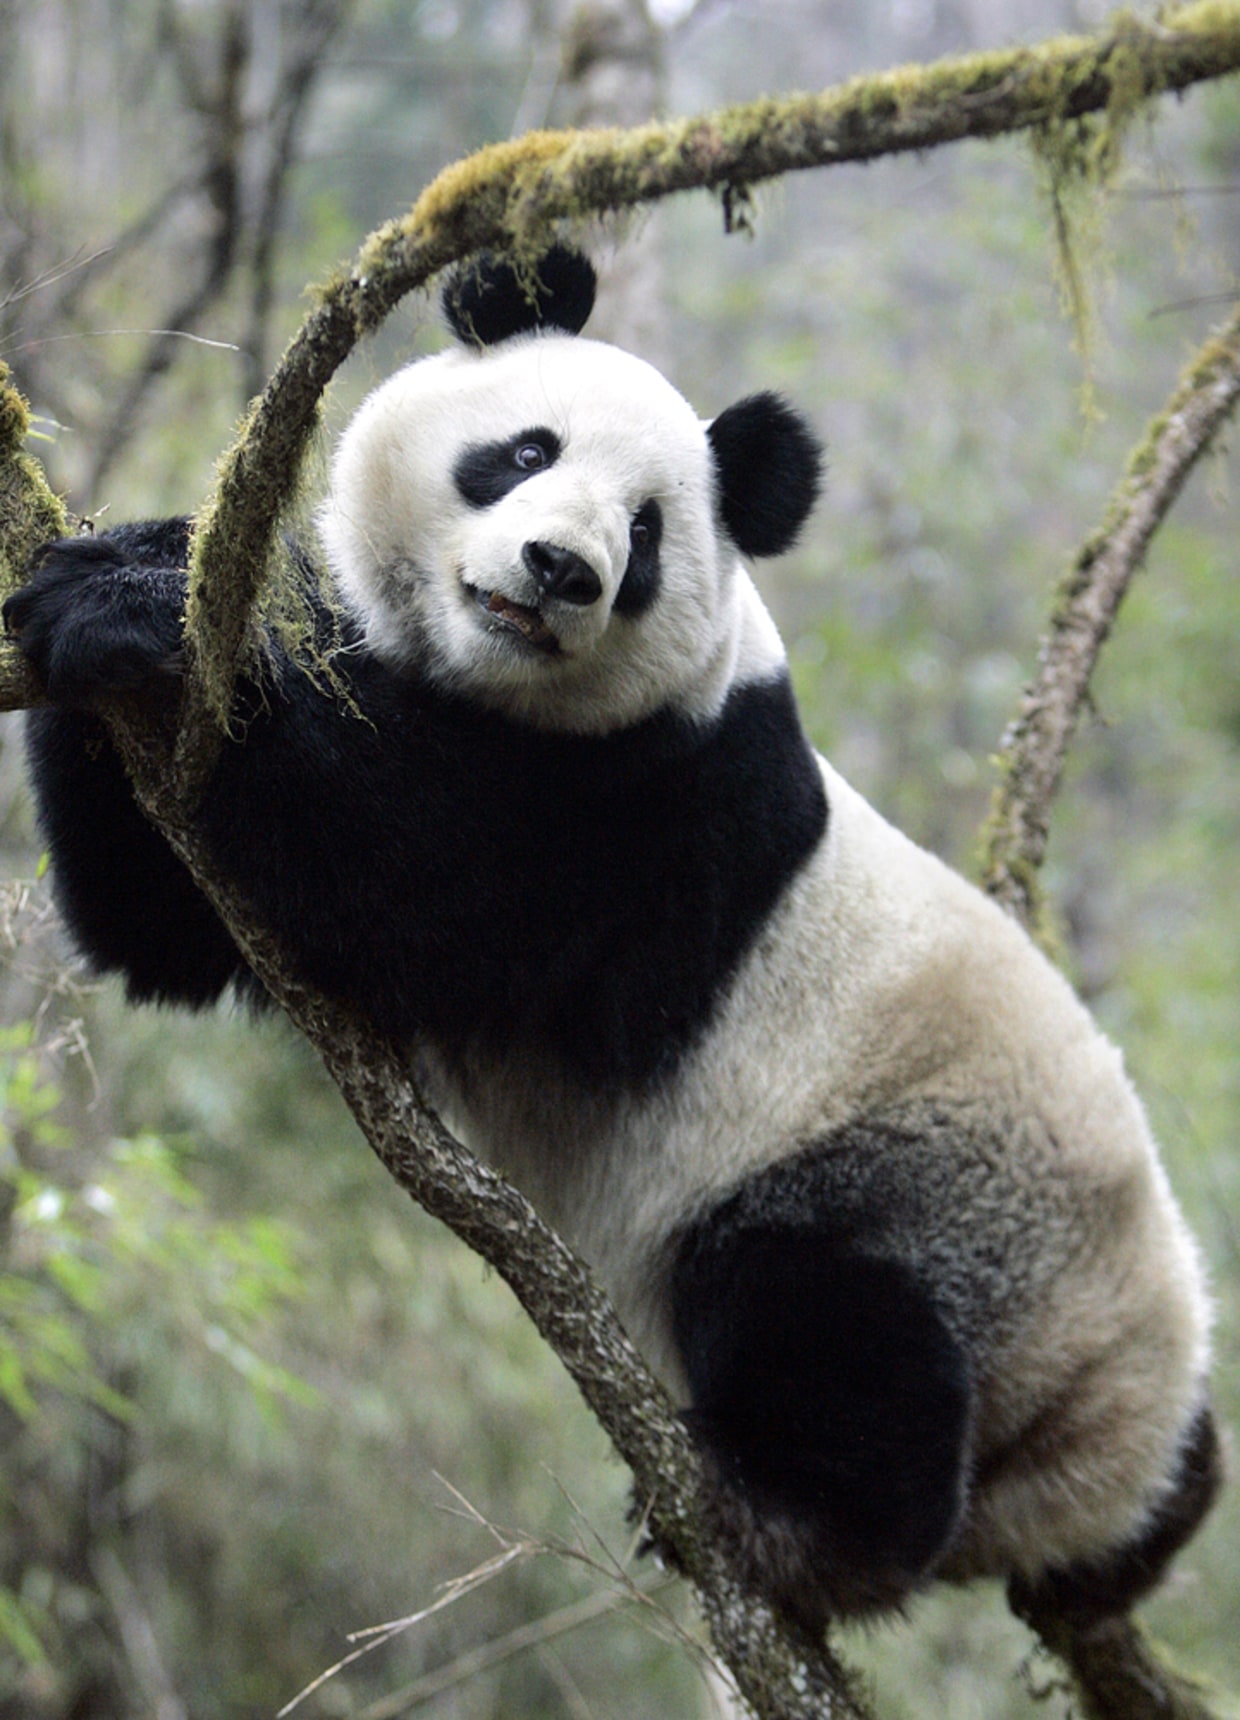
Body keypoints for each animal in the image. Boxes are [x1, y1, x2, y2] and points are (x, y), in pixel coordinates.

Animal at [3, 246, 1220, 1633]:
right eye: (525, 451)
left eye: (645, 534)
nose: (559, 569)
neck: (488, 690)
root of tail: (1116, 1428)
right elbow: (163, 926)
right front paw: (118, 573)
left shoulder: (662, 808)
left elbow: (422, 884)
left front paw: (142, 616)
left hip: (932, 1186)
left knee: (829, 1314)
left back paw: (791, 1515)